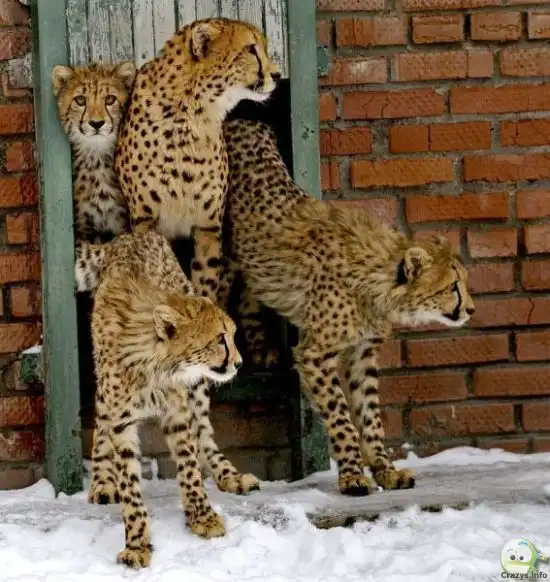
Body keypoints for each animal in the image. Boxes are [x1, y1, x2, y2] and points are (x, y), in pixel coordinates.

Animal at [51, 61, 136, 243]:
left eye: (110, 99)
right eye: (80, 100)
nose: (97, 123)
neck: (97, 159)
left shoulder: (121, 226)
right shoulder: (83, 230)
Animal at [75, 230, 259, 568]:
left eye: (232, 335)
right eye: (220, 339)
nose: (239, 363)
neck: (155, 365)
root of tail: (133, 234)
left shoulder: (178, 411)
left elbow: (189, 467)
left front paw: (202, 516)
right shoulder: (121, 422)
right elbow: (130, 484)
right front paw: (137, 543)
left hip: (197, 388)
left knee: (204, 431)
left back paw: (229, 476)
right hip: (105, 391)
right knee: (101, 423)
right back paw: (102, 482)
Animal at [114, 17, 280, 303]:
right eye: (251, 49)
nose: (277, 75)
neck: (193, 113)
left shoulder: (208, 227)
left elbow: (206, 278)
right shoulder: (146, 221)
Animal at [219, 118, 476, 497]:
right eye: (452, 287)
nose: (471, 309)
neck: (377, 281)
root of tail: (243, 119)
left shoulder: (362, 353)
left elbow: (369, 415)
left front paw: (386, 471)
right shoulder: (315, 354)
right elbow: (341, 417)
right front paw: (353, 475)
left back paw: (263, 350)